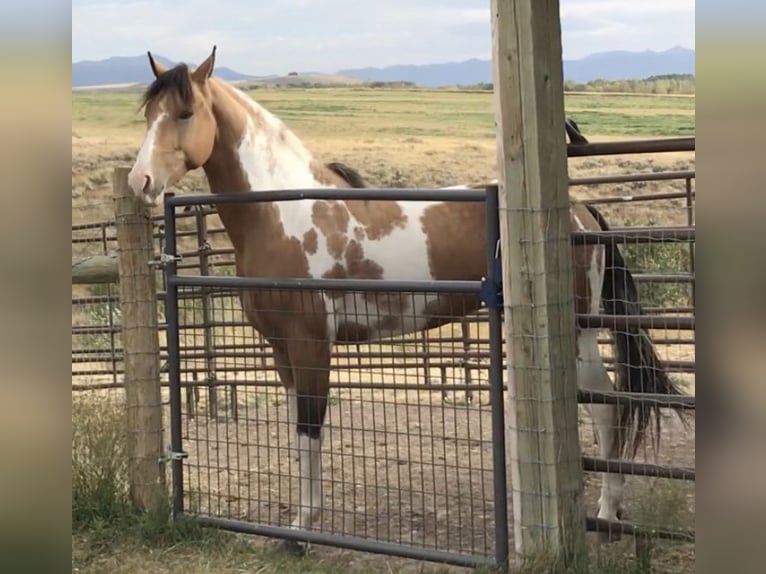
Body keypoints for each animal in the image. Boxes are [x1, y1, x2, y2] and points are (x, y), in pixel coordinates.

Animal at [127, 46, 683, 551]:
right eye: (149, 115)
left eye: (185, 113)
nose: (141, 182)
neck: (285, 213)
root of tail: (583, 212)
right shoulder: (283, 351)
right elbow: (297, 433)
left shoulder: (311, 346)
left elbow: (310, 429)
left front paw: (303, 532)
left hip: (579, 333)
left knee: (607, 407)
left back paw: (606, 514)